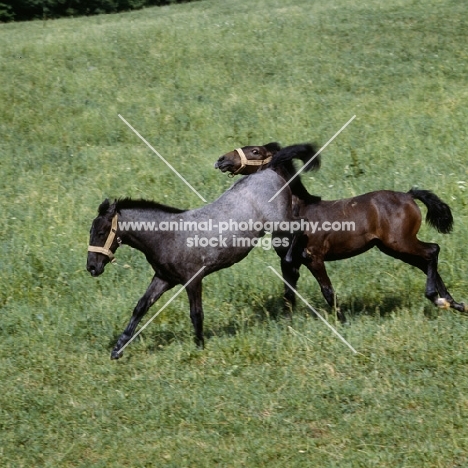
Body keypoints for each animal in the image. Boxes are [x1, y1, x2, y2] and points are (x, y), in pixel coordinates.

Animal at [88, 168, 304, 358]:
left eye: (101, 232)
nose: (91, 267)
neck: (167, 236)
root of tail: (270, 172)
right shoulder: (164, 279)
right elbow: (141, 306)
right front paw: (118, 348)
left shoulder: (193, 279)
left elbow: (196, 314)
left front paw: (200, 347)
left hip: (280, 224)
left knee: (299, 229)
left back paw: (292, 262)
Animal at [215, 144, 464, 318]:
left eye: (255, 150)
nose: (221, 159)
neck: (297, 208)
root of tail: (409, 195)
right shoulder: (289, 263)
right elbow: (288, 294)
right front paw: (286, 324)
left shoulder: (314, 258)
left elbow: (327, 291)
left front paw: (342, 320)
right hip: (392, 248)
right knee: (426, 261)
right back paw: (455, 303)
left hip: (400, 242)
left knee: (432, 251)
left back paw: (438, 299)